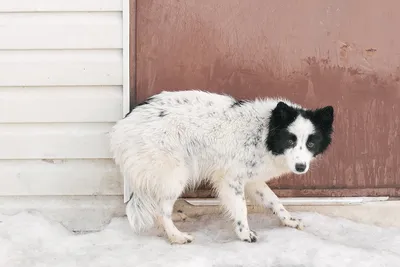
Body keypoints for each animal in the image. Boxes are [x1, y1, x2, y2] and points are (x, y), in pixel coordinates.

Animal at [109, 90, 334, 245]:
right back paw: (176, 236)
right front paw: (244, 234)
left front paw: (289, 220)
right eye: (290, 140)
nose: (300, 167)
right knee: (162, 210)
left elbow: (275, 201)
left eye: (311, 143)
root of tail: (123, 125)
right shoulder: (231, 180)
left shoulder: (252, 181)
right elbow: (241, 208)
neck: (264, 132)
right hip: (175, 176)